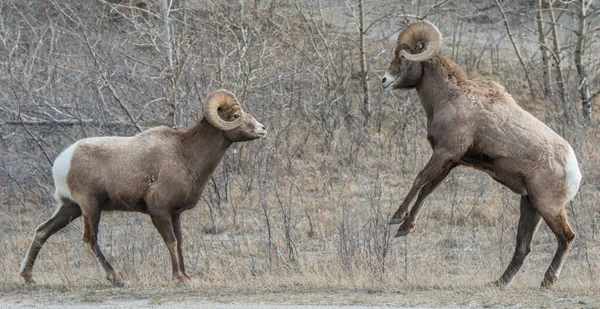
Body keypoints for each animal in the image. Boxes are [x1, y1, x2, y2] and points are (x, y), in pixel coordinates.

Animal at [19, 89, 268, 286]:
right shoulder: (159, 211)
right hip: (90, 207)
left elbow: (180, 242)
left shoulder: (175, 214)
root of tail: (63, 161)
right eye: (236, 116)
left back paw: (28, 277)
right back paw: (116, 278)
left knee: (42, 231)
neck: (185, 156)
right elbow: (171, 242)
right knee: (90, 239)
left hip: (70, 207)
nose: (263, 129)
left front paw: (186, 275)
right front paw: (178, 278)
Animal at [382, 21, 584, 286]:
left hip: (548, 207)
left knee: (566, 238)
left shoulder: (444, 152)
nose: (384, 80)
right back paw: (500, 283)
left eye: (403, 56)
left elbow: (419, 180)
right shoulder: (450, 161)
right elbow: (427, 190)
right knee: (523, 247)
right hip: (529, 206)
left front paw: (396, 218)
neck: (449, 98)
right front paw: (404, 229)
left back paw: (547, 282)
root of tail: (574, 171)